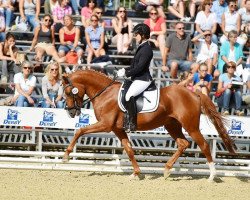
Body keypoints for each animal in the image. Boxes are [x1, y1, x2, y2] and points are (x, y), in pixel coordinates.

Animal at [61, 70, 235, 181]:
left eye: (68, 92)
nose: (71, 112)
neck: (105, 93)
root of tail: (194, 93)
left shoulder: (106, 124)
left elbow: (80, 130)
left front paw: (65, 156)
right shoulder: (117, 129)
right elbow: (129, 149)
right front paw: (136, 173)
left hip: (191, 126)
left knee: (203, 145)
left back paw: (212, 176)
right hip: (172, 125)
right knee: (183, 143)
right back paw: (166, 170)